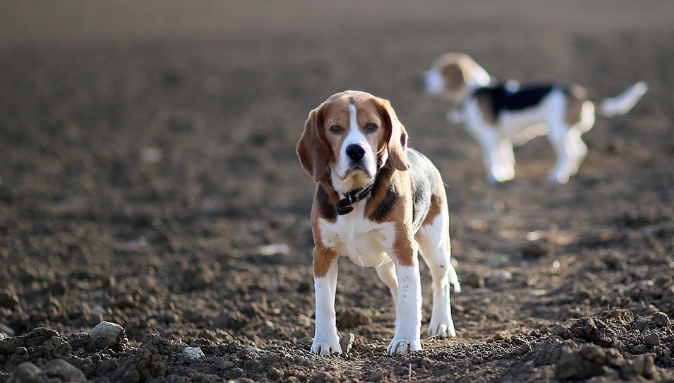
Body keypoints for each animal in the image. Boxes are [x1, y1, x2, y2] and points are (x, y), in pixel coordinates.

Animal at [296, 90, 460, 356]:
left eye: (371, 126)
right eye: (335, 128)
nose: (356, 151)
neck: (355, 195)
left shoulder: (404, 250)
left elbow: (410, 299)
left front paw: (405, 341)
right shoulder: (323, 252)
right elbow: (324, 303)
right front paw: (325, 343)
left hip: (435, 246)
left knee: (440, 283)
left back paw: (442, 324)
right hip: (385, 266)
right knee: (397, 289)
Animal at [422, 52, 644, 184]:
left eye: (441, 71)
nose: (421, 81)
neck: (476, 90)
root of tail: (580, 93)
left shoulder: (489, 137)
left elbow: (491, 159)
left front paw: (494, 177)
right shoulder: (502, 139)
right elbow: (505, 157)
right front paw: (506, 175)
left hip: (557, 133)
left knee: (569, 154)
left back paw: (557, 176)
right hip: (568, 132)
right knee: (580, 151)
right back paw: (569, 172)